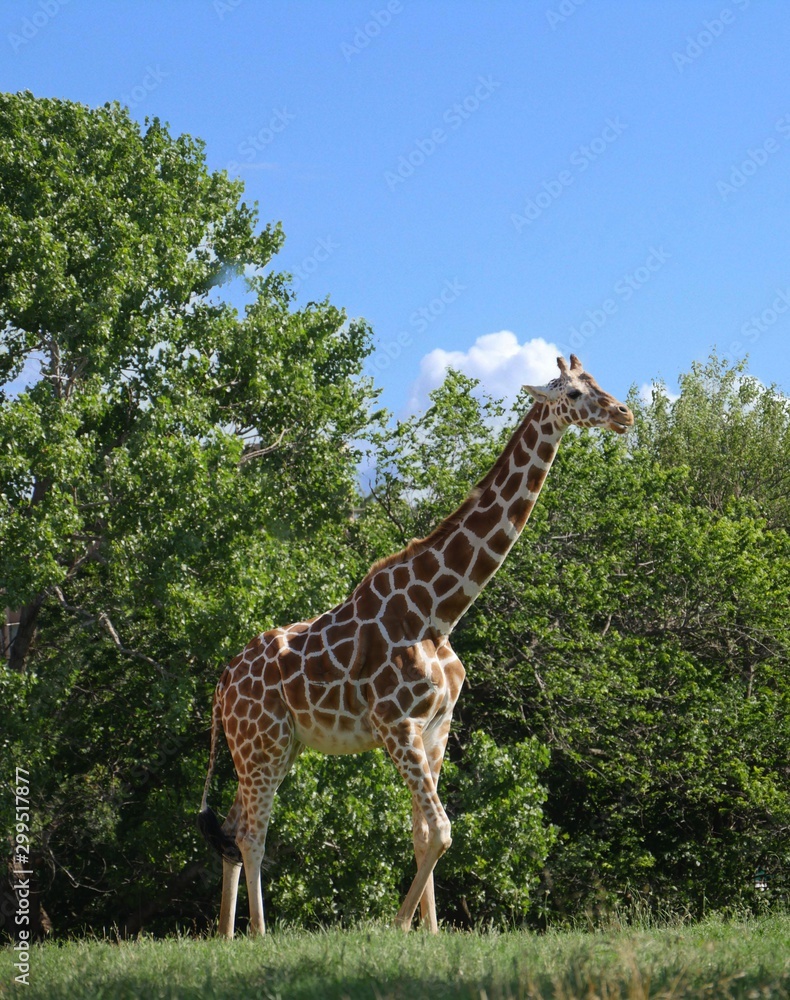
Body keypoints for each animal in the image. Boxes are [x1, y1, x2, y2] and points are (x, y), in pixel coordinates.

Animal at [198, 353, 633, 937]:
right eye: (573, 394)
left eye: (597, 381)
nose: (624, 413)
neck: (439, 611)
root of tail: (223, 682)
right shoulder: (397, 724)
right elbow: (443, 830)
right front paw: (398, 926)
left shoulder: (436, 726)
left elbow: (422, 833)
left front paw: (429, 933)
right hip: (260, 743)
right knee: (251, 833)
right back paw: (259, 935)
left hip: (276, 745)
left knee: (230, 826)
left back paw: (226, 937)